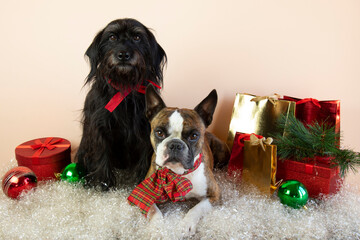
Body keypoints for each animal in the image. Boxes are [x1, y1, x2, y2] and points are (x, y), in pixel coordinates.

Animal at [77, 18, 167, 190]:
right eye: (112, 37)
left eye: (137, 37)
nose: (123, 54)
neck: (125, 87)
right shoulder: (99, 128)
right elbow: (102, 154)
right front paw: (105, 183)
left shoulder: (146, 128)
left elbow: (146, 156)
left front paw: (142, 180)